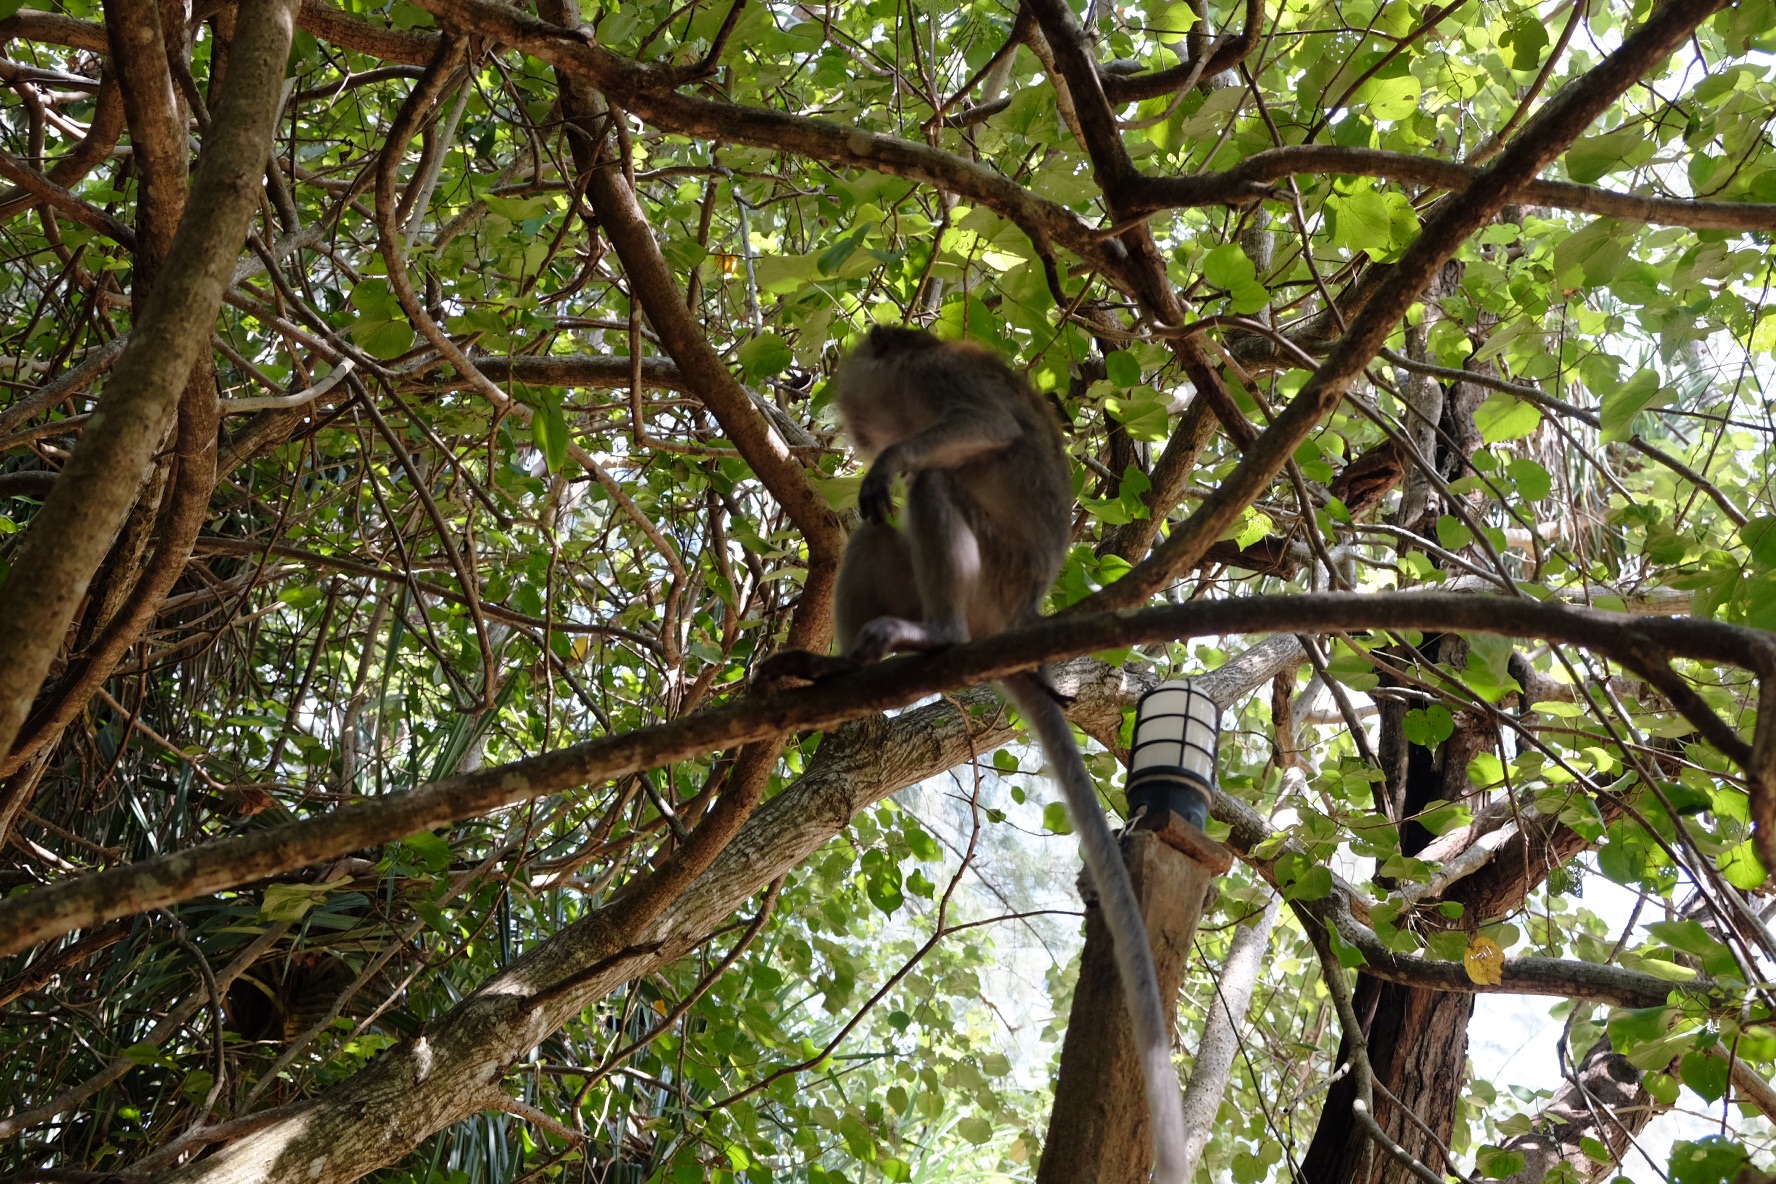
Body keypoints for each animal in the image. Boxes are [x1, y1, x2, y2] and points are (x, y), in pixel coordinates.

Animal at [756, 326, 1186, 1184]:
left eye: (863, 418)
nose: (859, 440)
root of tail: (1019, 617)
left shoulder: (943, 375)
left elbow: (986, 429)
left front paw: (892, 460)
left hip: (993, 570)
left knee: (931, 492)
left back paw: (934, 635)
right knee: (878, 531)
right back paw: (845, 671)